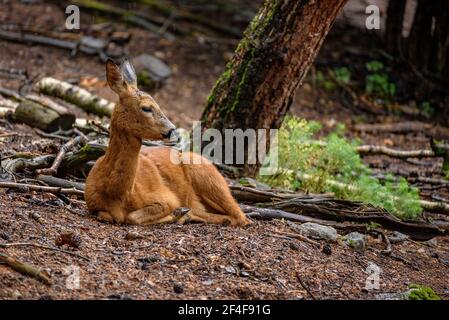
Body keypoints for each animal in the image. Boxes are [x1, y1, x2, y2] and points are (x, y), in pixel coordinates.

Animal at [85, 58, 248, 226]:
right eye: (146, 108)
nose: (173, 131)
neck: (115, 194)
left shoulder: (166, 197)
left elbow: (132, 217)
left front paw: (177, 213)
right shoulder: (92, 204)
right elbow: (107, 215)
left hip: (207, 177)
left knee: (240, 216)